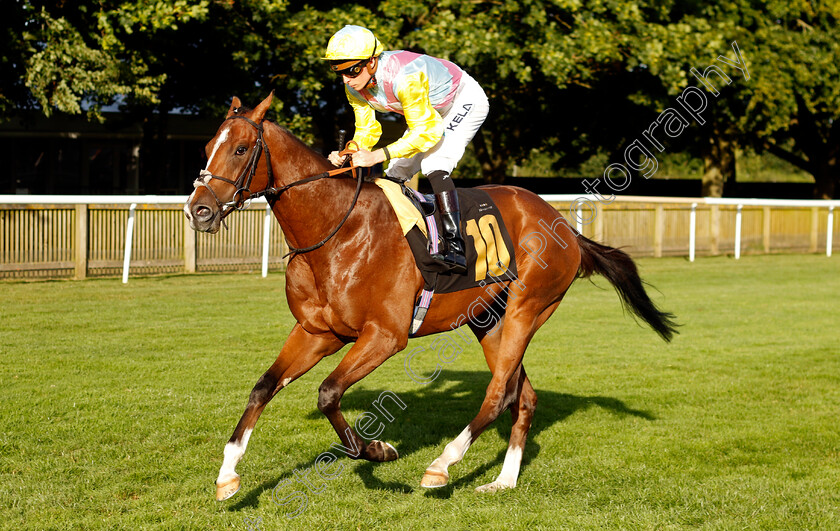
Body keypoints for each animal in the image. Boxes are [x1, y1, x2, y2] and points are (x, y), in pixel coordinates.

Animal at [184, 92, 676, 502]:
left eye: (241, 149)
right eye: (207, 146)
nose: (199, 210)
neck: (335, 232)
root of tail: (563, 226)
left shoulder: (385, 336)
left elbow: (327, 392)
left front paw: (377, 449)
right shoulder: (317, 331)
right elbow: (263, 387)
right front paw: (228, 475)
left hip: (527, 309)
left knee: (498, 393)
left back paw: (442, 464)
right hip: (489, 321)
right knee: (523, 397)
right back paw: (503, 480)